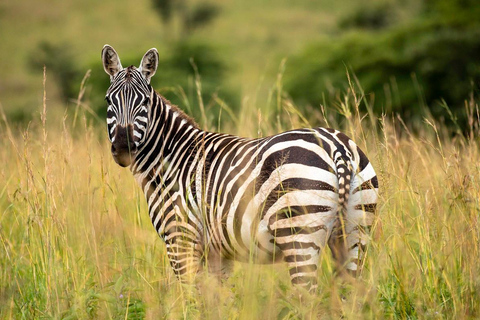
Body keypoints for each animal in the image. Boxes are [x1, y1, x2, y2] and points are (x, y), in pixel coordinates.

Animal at [101, 45, 378, 292]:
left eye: (145, 102)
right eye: (108, 100)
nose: (123, 146)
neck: (173, 158)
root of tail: (337, 146)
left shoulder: (180, 238)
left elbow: (189, 298)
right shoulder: (217, 251)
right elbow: (218, 300)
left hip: (299, 234)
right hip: (356, 230)